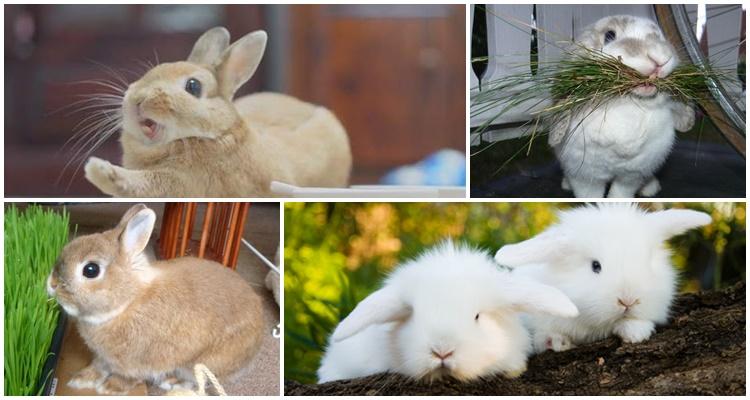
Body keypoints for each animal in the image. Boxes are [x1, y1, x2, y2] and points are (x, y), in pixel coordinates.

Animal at [46, 205, 264, 396]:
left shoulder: (138, 363)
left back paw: (173, 383)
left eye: (90, 270)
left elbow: (127, 377)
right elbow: (99, 366)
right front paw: (81, 378)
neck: (127, 303)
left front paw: (110, 388)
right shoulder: (103, 356)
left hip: (202, 362)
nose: (51, 284)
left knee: (199, 379)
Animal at [82, 27, 352, 197]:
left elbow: (146, 183)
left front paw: (98, 170)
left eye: (193, 86)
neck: (217, 135)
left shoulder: (185, 183)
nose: (138, 100)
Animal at [552, 15, 700, 197]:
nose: (661, 56)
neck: (629, 103)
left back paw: (650, 188)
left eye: (659, 35)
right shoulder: (584, 176)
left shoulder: (632, 176)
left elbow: (620, 194)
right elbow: (590, 196)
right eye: (609, 35)